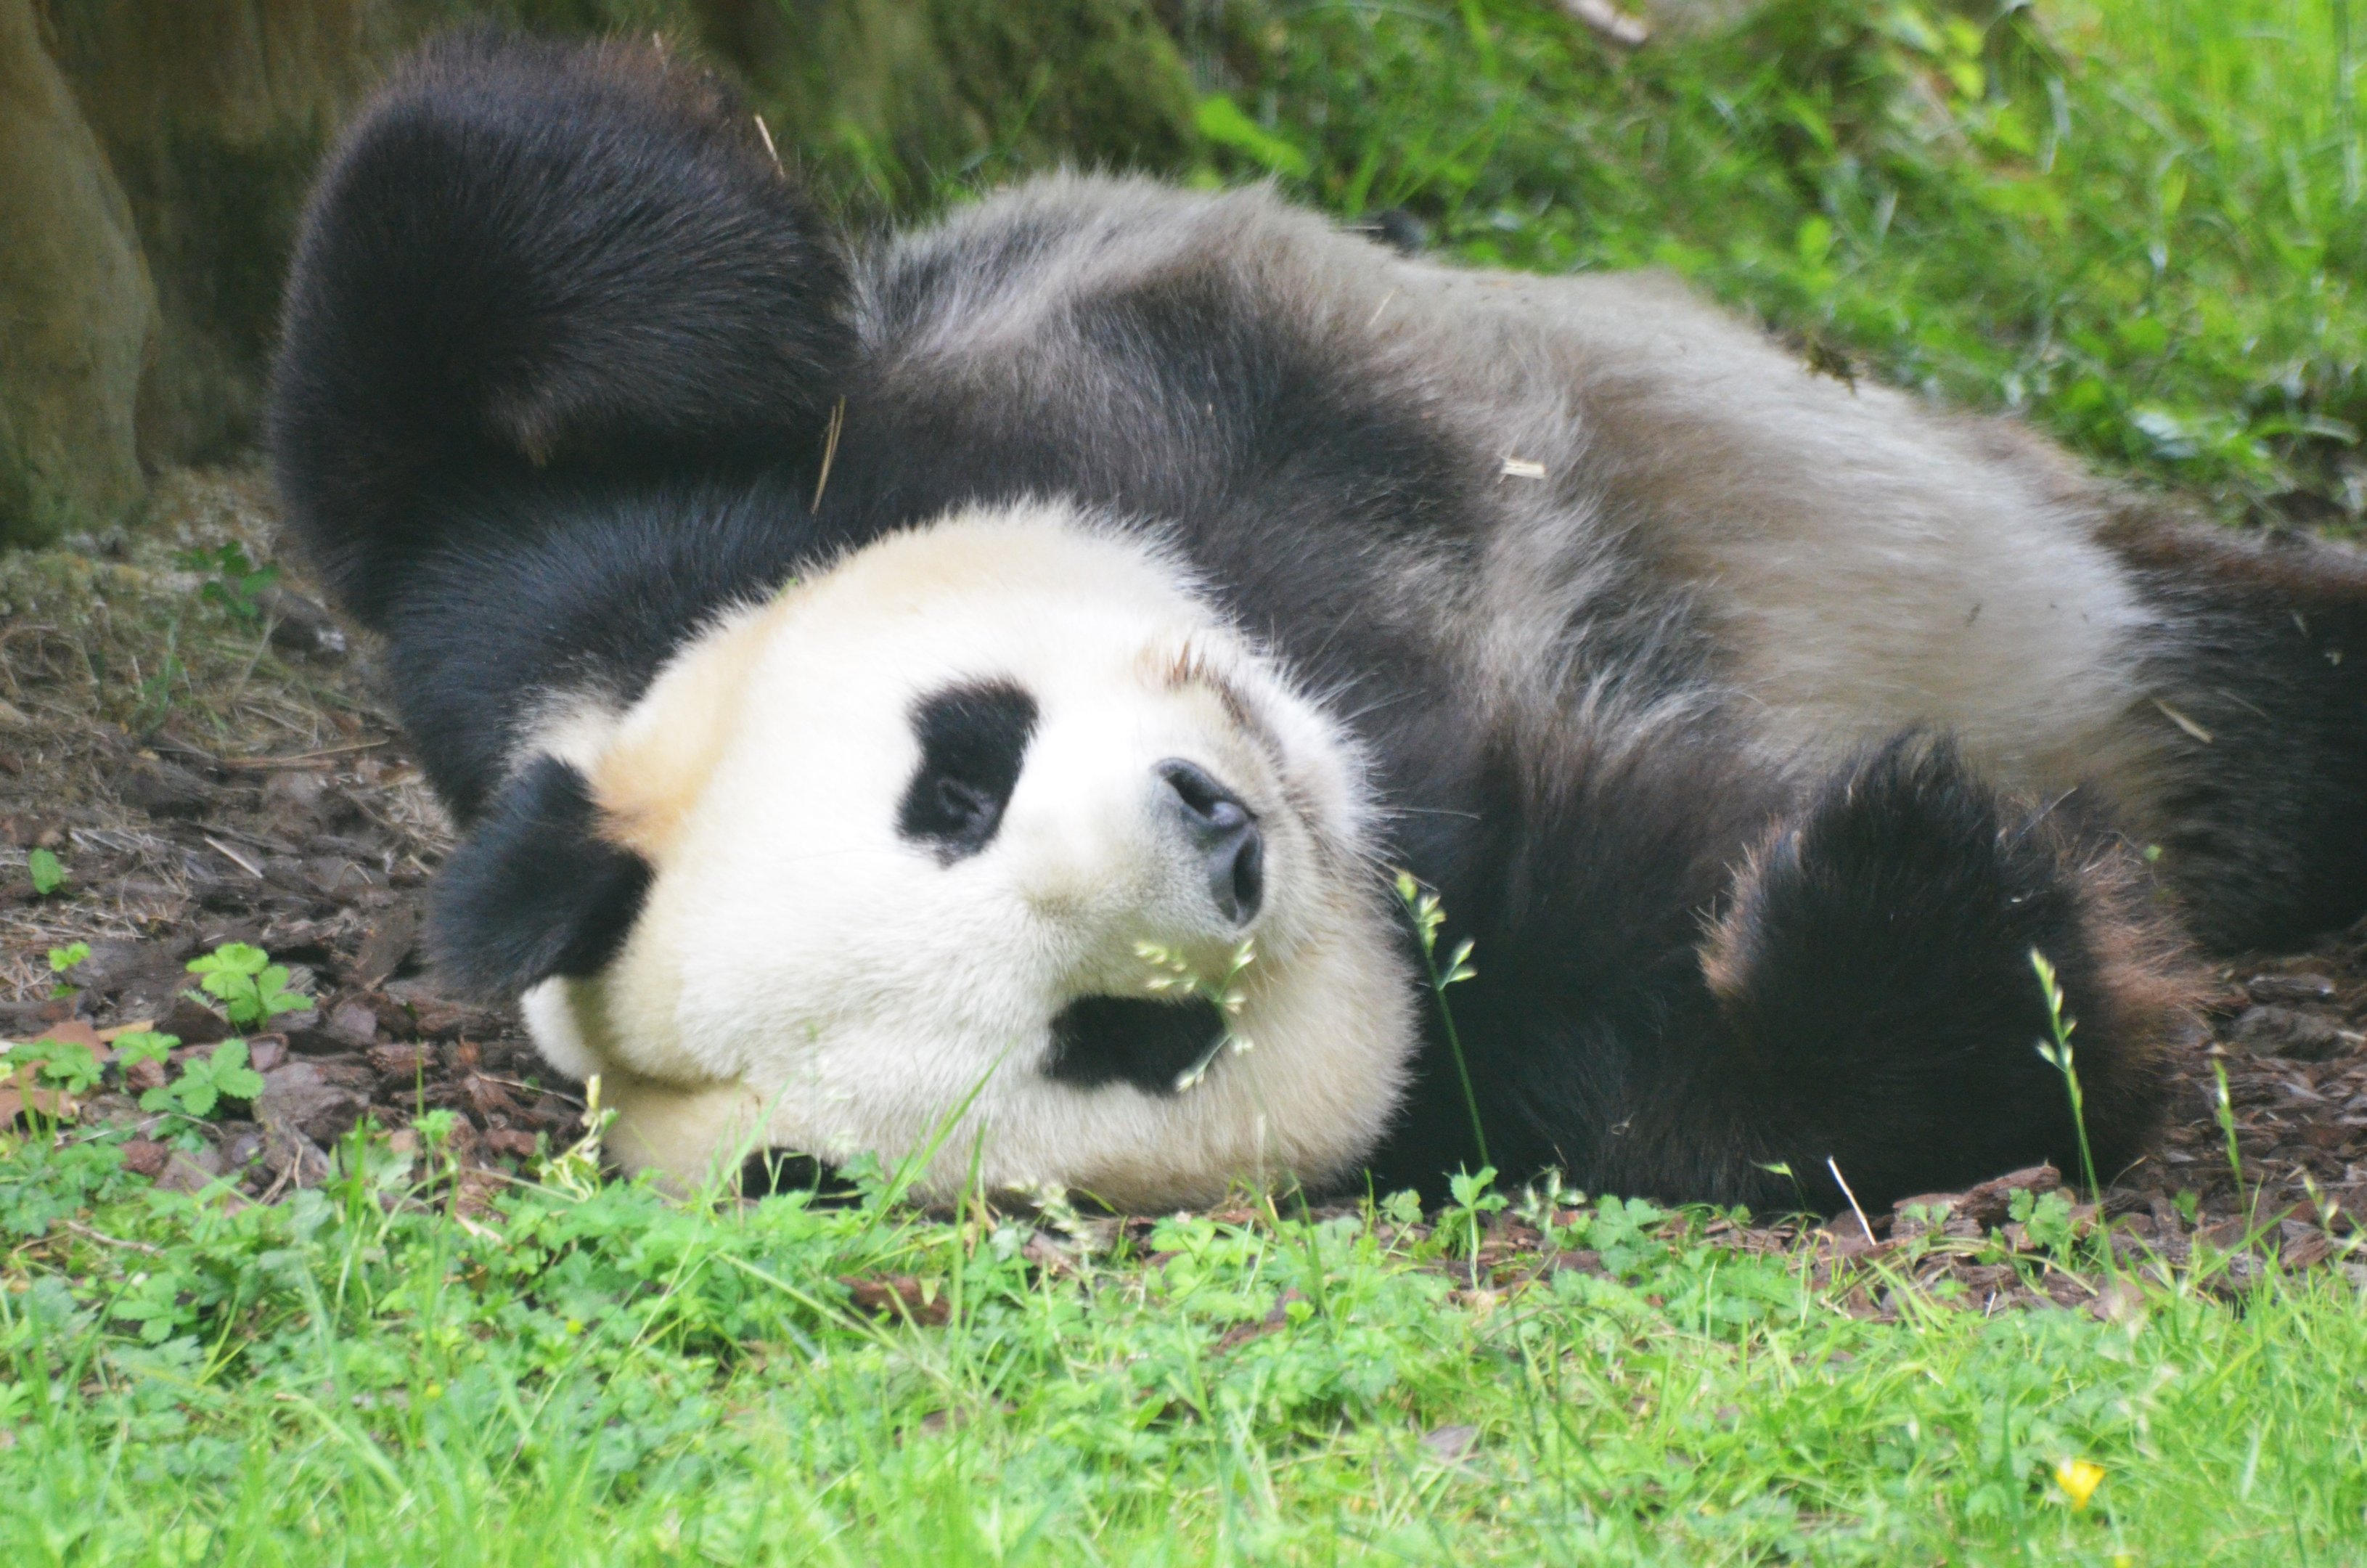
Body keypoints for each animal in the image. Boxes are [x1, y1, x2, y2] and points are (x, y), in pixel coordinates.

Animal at [269, 34, 2367, 1214]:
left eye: (956, 775)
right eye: (1117, 1038)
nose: (1223, 830)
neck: (1359, 712)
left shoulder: (577, 595)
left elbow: (432, 328)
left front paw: (746, 311)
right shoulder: (1495, 1018)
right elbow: (1807, 1093)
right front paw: (1910, 885)